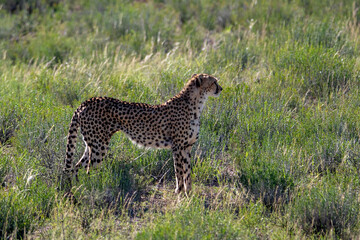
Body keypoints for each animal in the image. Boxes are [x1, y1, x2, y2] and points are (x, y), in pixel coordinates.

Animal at [64, 73, 222, 193]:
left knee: (76, 167)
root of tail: (86, 101)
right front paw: (180, 193)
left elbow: (188, 172)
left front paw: (189, 194)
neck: (196, 104)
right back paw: (94, 189)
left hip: (92, 144)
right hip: (99, 146)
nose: (221, 88)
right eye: (214, 82)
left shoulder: (187, 147)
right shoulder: (177, 147)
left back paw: (77, 189)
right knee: (88, 170)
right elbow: (179, 172)